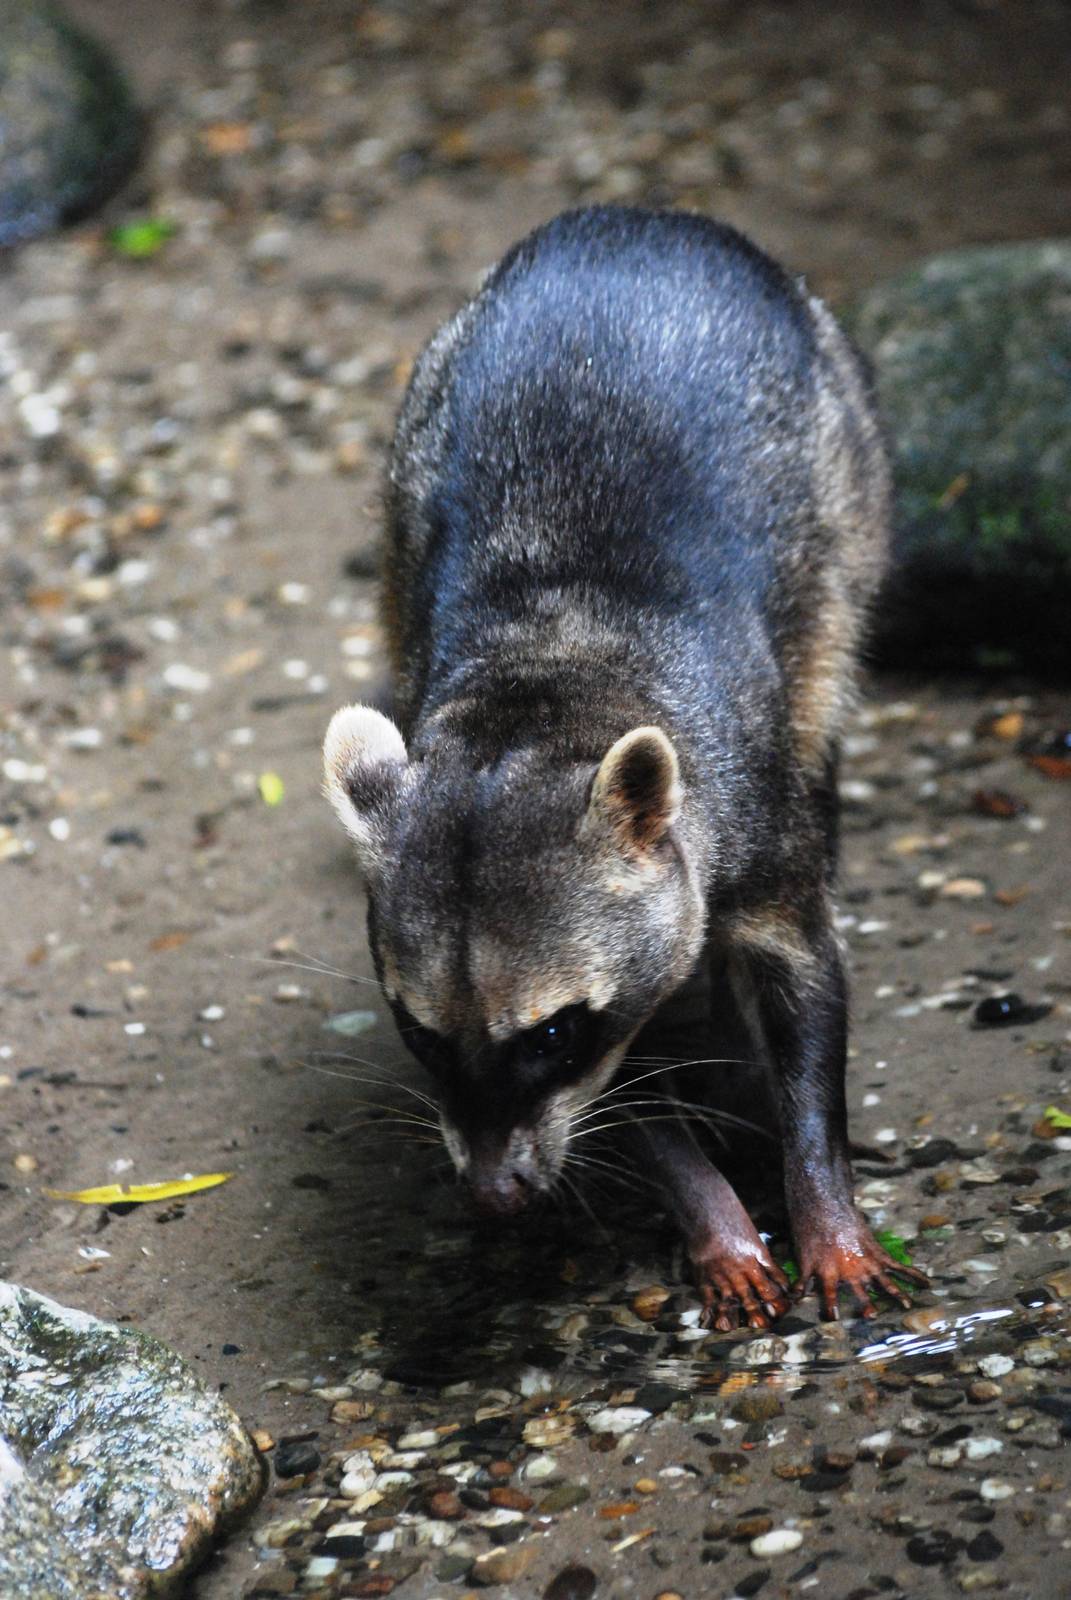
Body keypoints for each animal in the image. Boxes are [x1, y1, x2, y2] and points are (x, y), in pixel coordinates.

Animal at [323, 206, 926, 1329]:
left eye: (553, 1033)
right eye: (420, 1036)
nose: (496, 1195)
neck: (544, 684)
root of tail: (639, 218)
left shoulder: (749, 816)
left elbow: (806, 989)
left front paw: (820, 1198)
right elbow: (627, 1092)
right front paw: (708, 1209)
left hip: (847, 463)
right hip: (409, 449)